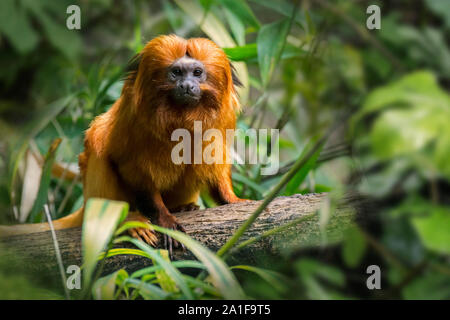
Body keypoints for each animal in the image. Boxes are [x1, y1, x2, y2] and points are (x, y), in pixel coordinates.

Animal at [0, 35, 246, 255]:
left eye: (197, 73)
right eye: (176, 73)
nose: (186, 85)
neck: (182, 116)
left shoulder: (223, 119)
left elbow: (214, 161)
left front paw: (230, 199)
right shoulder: (133, 116)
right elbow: (132, 167)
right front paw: (164, 218)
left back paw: (182, 206)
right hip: (96, 193)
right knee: (97, 145)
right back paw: (126, 219)